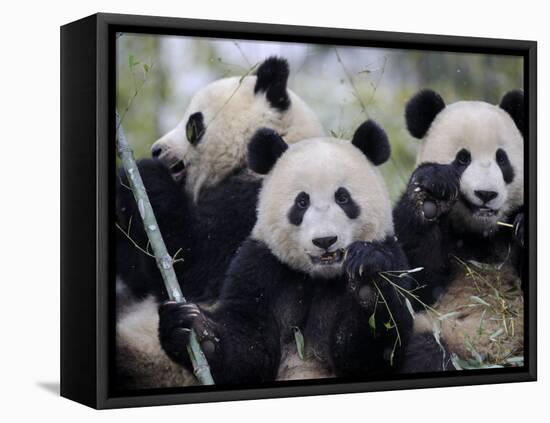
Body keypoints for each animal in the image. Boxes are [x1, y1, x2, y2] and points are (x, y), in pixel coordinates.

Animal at [115, 56, 324, 390]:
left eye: (193, 123)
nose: (156, 150)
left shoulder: (261, 205)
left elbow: (194, 266)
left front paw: (142, 174)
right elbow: (140, 273)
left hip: (158, 364)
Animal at [157, 120, 416, 384]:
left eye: (343, 198)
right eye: (301, 202)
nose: (325, 240)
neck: (319, 277)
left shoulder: (392, 253)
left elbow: (372, 355)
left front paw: (368, 280)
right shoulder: (260, 265)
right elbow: (249, 349)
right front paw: (194, 329)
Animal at [394, 88, 528, 372]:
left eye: (502, 159)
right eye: (463, 158)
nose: (486, 194)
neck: (479, 234)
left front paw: (523, 227)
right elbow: (415, 283)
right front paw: (433, 192)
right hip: (437, 332)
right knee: (424, 351)